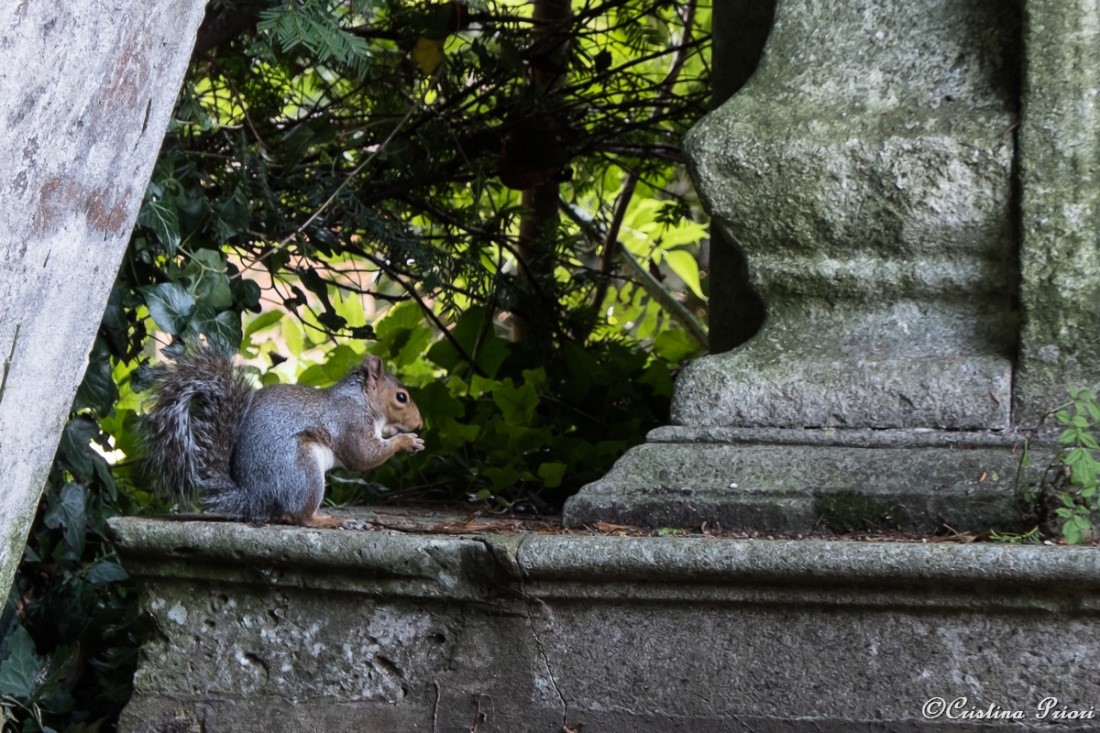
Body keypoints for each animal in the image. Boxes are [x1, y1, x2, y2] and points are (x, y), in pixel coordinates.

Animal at [142, 345, 424, 527]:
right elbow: (363, 456)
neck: (362, 400)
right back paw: (329, 520)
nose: (420, 424)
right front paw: (407, 441)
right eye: (401, 397)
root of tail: (255, 497)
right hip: (303, 470)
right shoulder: (351, 422)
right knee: (300, 517)